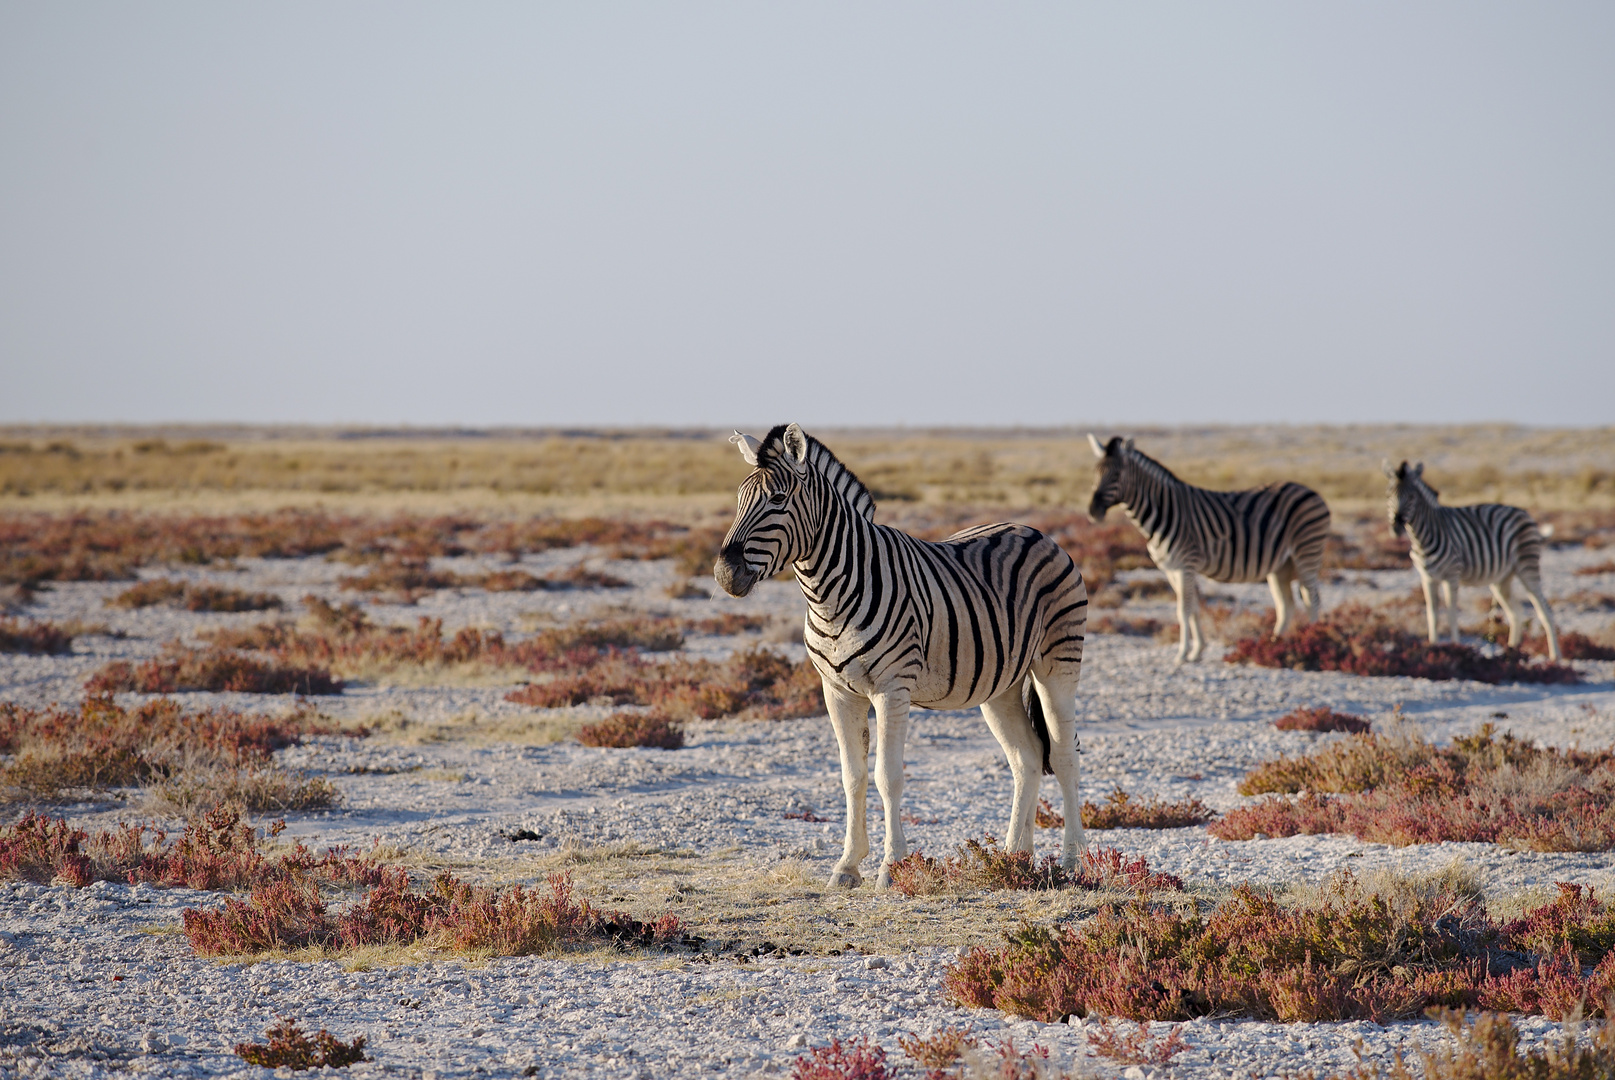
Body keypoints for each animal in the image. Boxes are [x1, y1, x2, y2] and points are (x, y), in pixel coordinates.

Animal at [717, 419, 1085, 884]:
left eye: (778, 500)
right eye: (738, 500)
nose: (724, 574)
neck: (828, 594)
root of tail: (1036, 531)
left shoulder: (891, 690)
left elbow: (886, 776)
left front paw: (891, 867)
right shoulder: (836, 692)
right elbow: (852, 776)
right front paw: (847, 865)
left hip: (1057, 665)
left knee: (1063, 754)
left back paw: (1072, 862)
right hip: (1000, 684)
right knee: (1028, 758)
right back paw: (1015, 859)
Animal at [1085, 432, 1337, 661]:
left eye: (1117, 474)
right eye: (1094, 474)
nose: (1092, 511)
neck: (1163, 510)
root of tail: (1312, 492)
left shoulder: (1185, 564)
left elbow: (1183, 610)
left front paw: (1182, 654)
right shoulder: (1171, 569)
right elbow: (1194, 607)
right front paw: (1197, 650)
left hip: (1306, 552)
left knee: (1312, 599)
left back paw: (1314, 640)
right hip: (1281, 566)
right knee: (1287, 606)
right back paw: (1276, 646)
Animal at [1382, 455, 1556, 658]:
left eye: (1412, 497)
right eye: (1388, 496)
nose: (1396, 527)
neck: (1421, 537)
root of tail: (1524, 512)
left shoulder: (1451, 575)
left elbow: (1451, 614)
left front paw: (1456, 648)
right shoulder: (1427, 578)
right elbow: (1432, 615)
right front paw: (1433, 646)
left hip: (1527, 567)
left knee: (1545, 611)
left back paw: (1555, 659)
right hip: (1502, 578)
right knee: (1516, 613)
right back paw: (1512, 651)